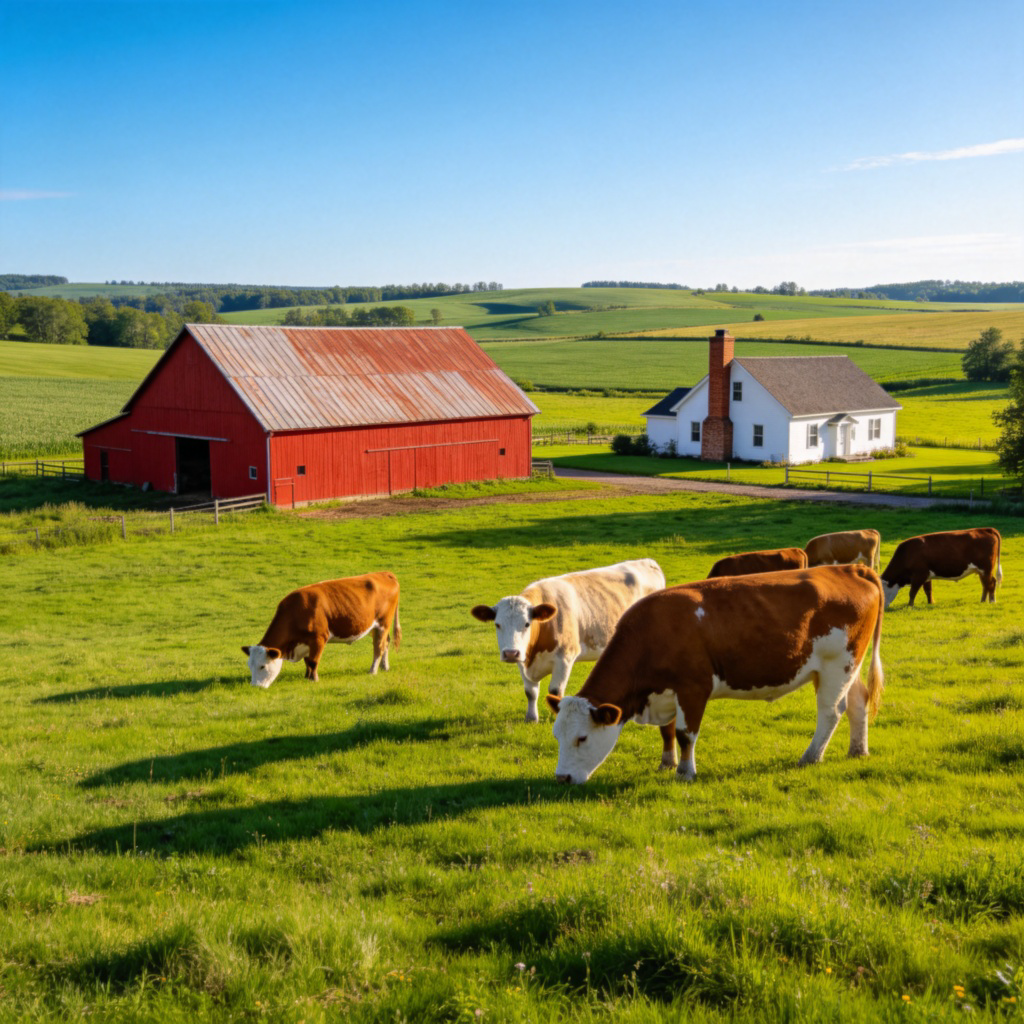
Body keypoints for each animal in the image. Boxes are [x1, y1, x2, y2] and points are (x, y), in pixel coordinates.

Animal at [242, 572, 401, 688]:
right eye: (249, 666)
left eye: (262, 666)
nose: (255, 686)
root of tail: (385, 573)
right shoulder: (306, 642)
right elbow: (307, 661)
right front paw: (306, 677)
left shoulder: (318, 638)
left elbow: (313, 661)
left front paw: (314, 680)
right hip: (374, 627)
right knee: (386, 643)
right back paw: (384, 667)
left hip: (383, 623)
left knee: (379, 647)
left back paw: (373, 671)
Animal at [471, 558, 667, 739]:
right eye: (497, 624)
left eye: (527, 624)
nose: (511, 653)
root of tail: (647, 561)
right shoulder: (523, 660)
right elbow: (530, 692)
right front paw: (531, 718)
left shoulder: (564, 658)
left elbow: (555, 692)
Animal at [546, 564, 885, 785]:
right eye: (556, 736)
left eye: (582, 738)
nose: (562, 778)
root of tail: (851, 568)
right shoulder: (666, 692)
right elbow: (667, 731)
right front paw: (666, 764)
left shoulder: (693, 688)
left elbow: (685, 734)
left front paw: (685, 772)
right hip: (848, 665)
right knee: (858, 703)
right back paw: (858, 750)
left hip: (835, 665)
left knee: (831, 711)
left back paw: (811, 756)